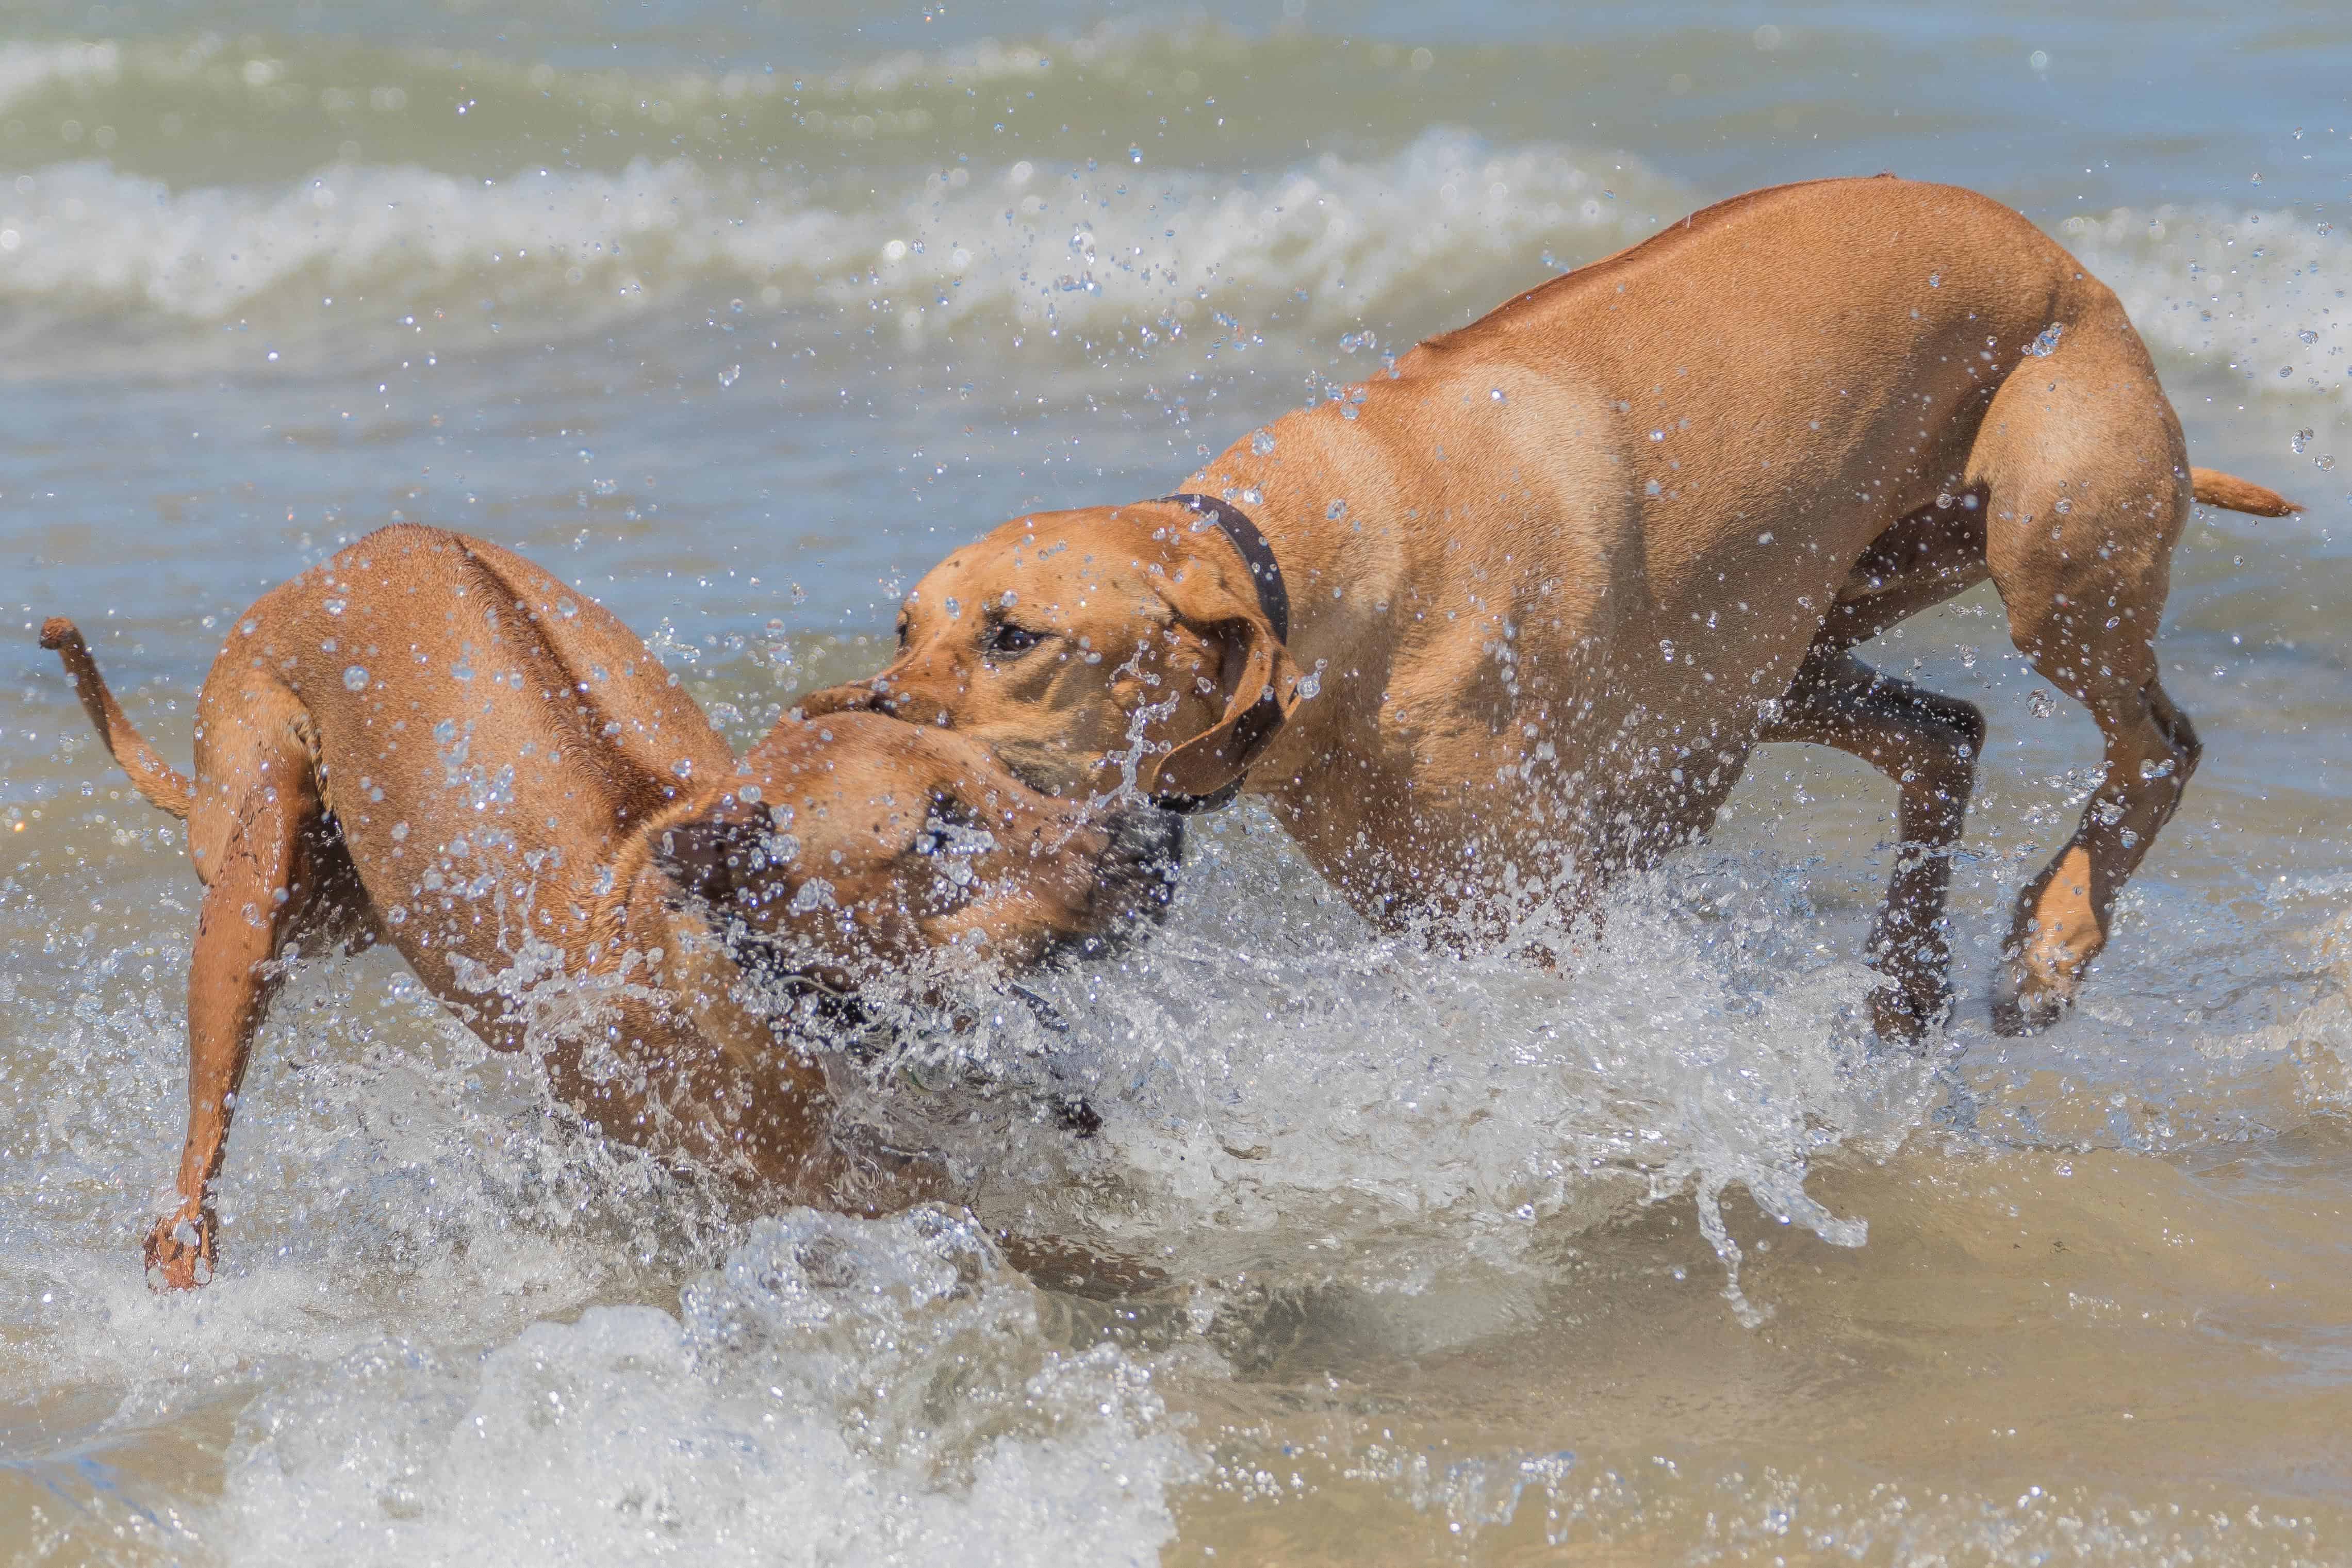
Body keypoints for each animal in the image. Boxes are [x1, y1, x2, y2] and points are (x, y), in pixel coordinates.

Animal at [37, 526, 1176, 1288]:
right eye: (936, 831)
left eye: (1002, 772)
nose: (1151, 840)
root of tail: (334, 561)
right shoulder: (817, 1174)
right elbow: (974, 1214)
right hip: (259, 858)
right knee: (207, 1105)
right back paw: (183, 1242)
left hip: (346, 896)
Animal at [804, 177, 2295, 1044]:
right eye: (903, 627)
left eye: (1017, 637)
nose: (859, 714)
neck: (1317, 565)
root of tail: (2077, 270)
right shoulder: (1424, 895)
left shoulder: (1531, 902)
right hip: (1778, 652)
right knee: (1946, 728)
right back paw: (1905, 977)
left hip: (2054, 555)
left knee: (2155, 739)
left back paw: (2051, 944)